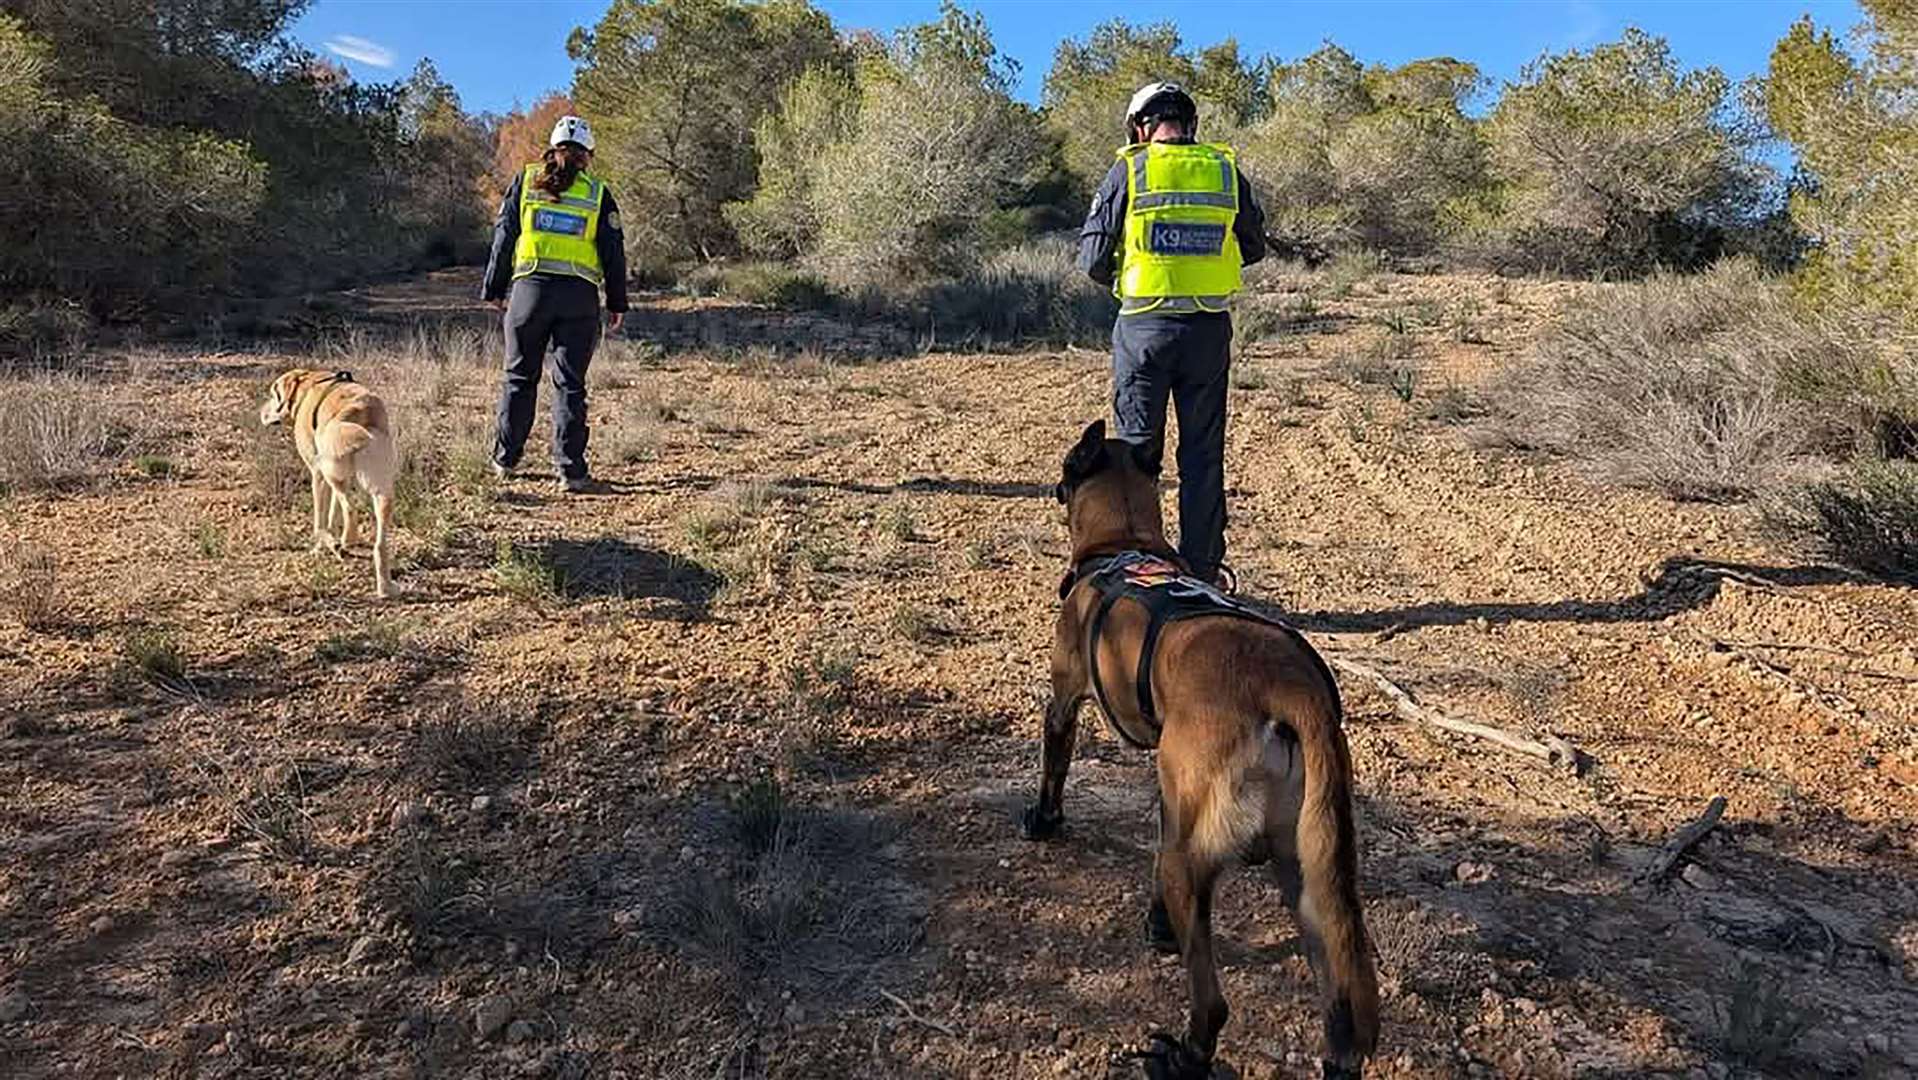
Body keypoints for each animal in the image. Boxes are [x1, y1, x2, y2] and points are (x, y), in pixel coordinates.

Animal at [1020, 422, 1380, 1080]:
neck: (1125, 541)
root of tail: (1290, 687)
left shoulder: (1064, 701)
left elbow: (1053, 767)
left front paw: (1044, 821)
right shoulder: (1172, 800)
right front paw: (1159, 924)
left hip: (1193, 865)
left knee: (1212, 1003)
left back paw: (1182, 1056)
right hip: (1307, 872)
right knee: (1343, 996)